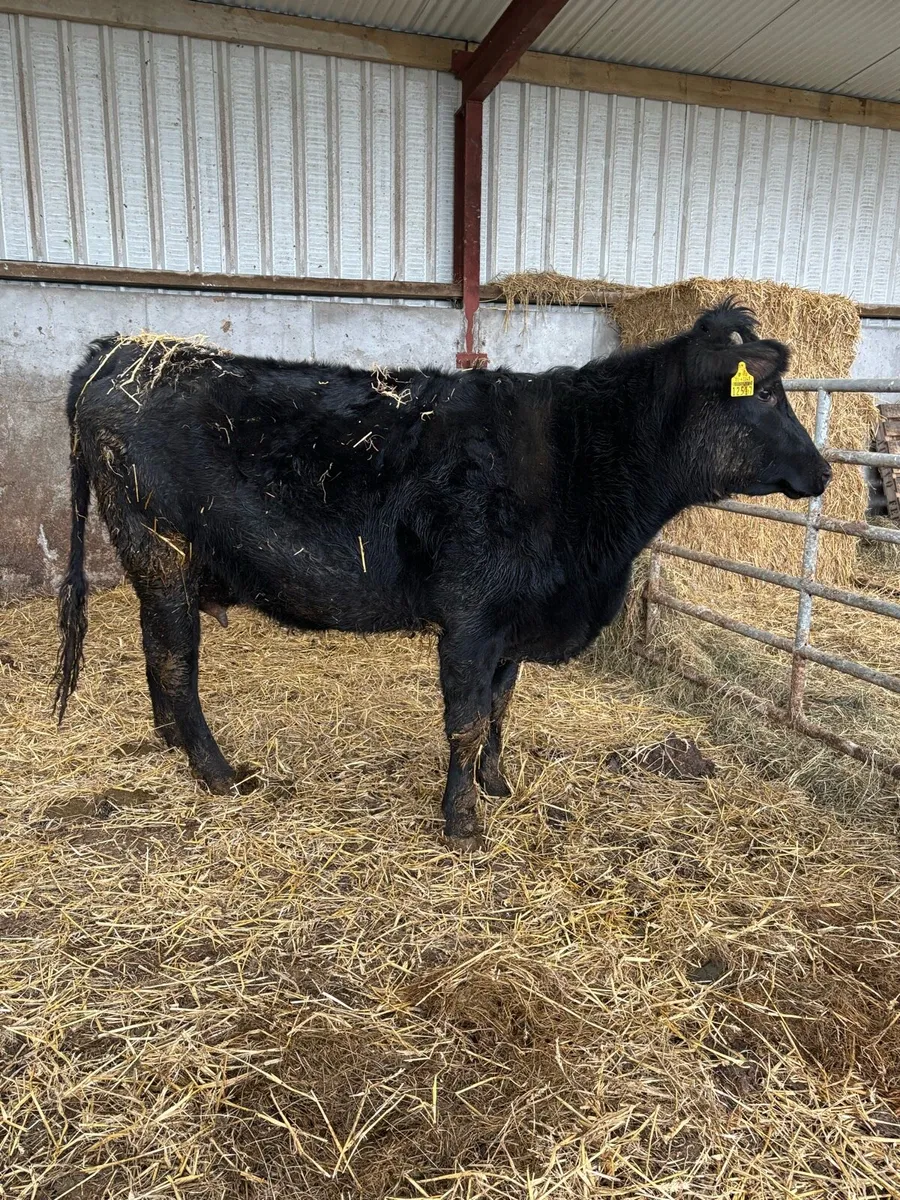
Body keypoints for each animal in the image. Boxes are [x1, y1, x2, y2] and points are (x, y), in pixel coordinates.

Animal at [55, 302, 831, 847]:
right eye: (764, 394)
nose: (823, 471)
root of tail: (120, 349)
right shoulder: (471, 616)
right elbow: (466, 718)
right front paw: (462, 824)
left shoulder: (514, 621)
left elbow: (501, 708)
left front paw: (497, 785)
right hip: (161, 549)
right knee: (176, 660)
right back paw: (216, 772)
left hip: (156, 566)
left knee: (158, 649)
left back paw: (170, 743)